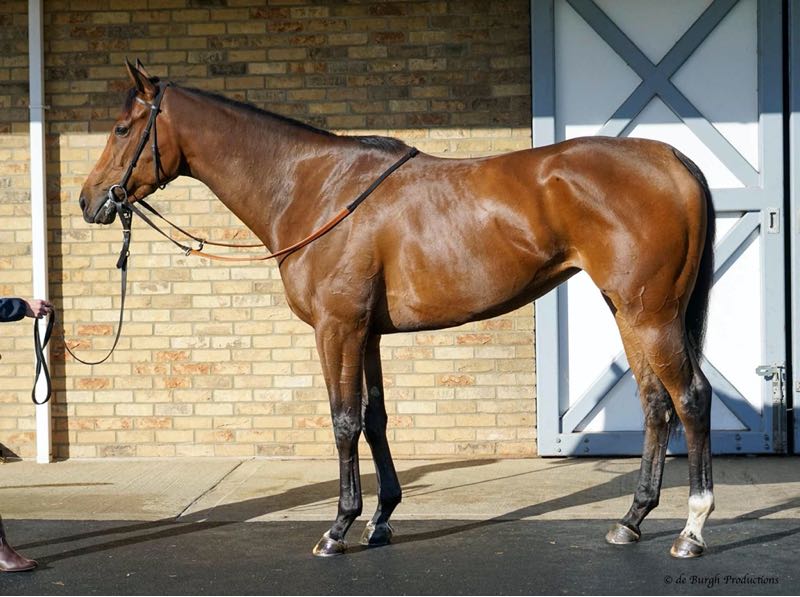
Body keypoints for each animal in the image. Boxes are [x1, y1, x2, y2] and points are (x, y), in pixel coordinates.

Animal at [79, 60, 716, 559]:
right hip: (627, 311)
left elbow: (343, 421)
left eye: (121, 128)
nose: (88, 201)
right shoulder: (369, 333)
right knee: (655, 403)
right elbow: (376, 418)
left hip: (652, 313)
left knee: (690, 398)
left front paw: (339, 528)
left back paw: (692, 529)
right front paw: (382, 519)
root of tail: (672, 158)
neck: (316, 187)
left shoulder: (336, 328)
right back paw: (631, 520)